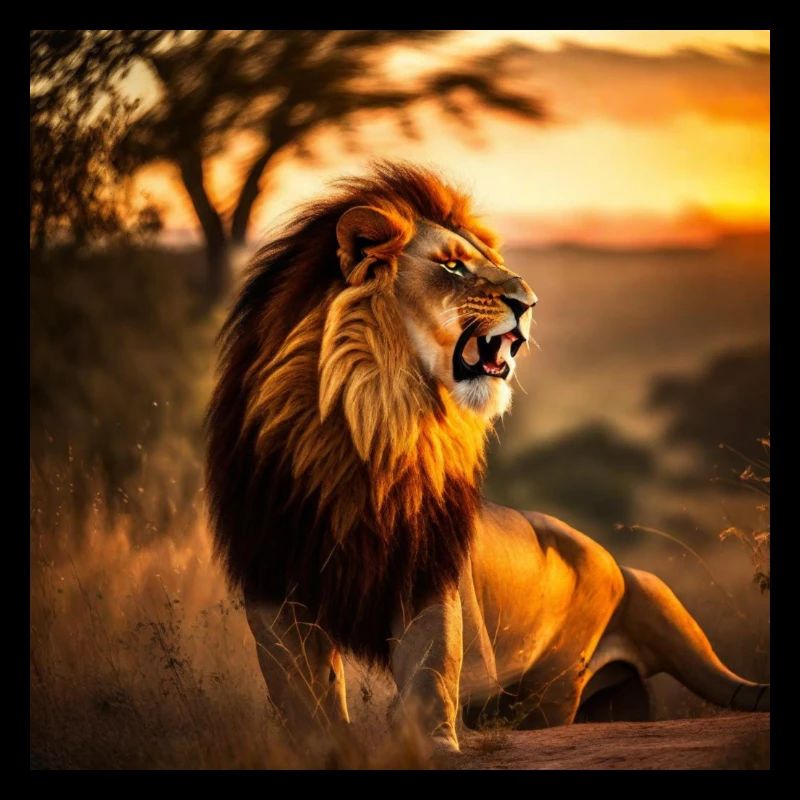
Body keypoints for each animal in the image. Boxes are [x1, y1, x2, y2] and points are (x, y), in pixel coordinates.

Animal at [206, 162, 769, 756]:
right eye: (452, 266)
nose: (530, 302)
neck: (374, 428)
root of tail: (617, 566)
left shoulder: (429, 568)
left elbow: (432, 667)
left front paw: (434, 747)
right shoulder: (272, 579)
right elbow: (301, 697)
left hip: (555, 684)